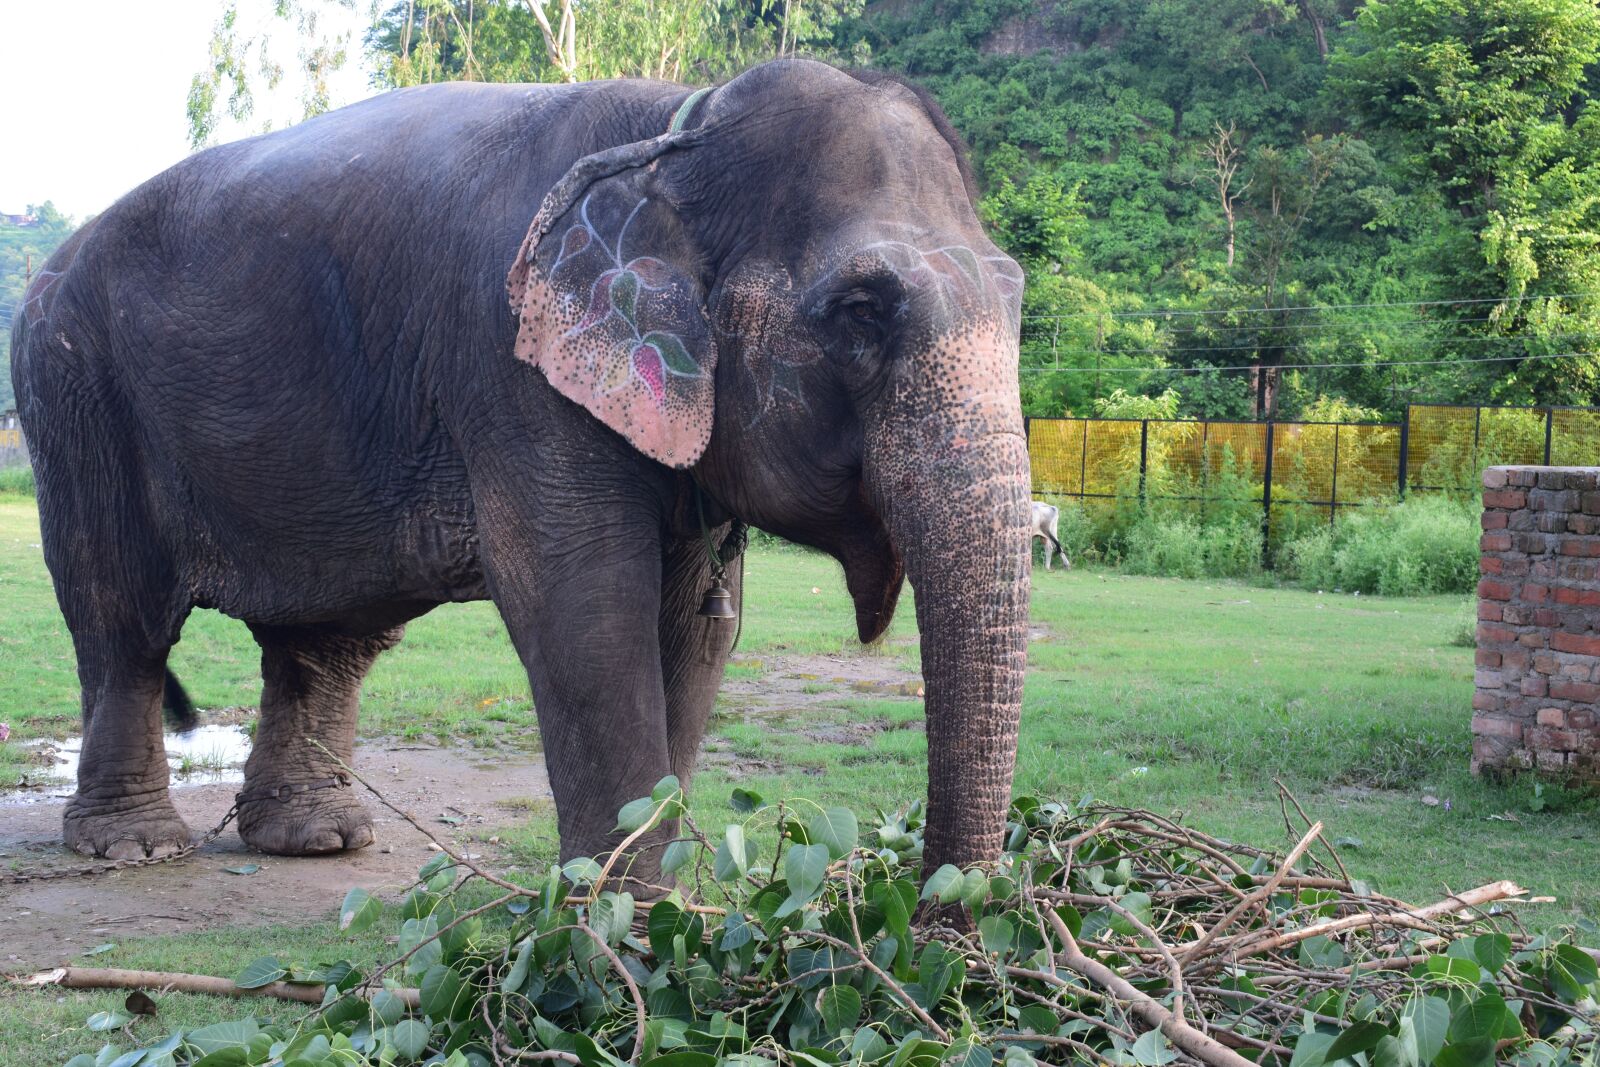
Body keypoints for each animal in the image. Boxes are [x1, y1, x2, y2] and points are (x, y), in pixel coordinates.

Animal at [10, 58, 1032, 882]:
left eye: (1017, 293)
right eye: (862, 309)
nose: (940, 918)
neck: (678, 128)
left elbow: (698, 629)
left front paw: (660, 918)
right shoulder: (509, 363)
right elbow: (583, 605)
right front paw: (621, 928)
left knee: (321, 643)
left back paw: (319, 839)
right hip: (74, 395)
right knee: (120, 615)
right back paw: (135, 847)